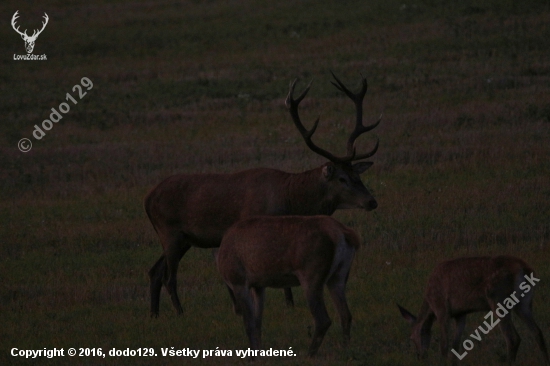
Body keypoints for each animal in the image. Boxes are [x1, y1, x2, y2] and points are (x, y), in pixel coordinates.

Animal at [144, 72, 382, 318]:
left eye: (357, 174)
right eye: (342, 178)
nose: (371, 201)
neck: (290, 198)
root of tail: (147, 198)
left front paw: (287, 304)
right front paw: (283, 305)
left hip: (183, 239)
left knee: (154, 271)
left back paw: (154, 314)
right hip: (170, 232)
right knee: (169, 277)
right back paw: (180, 313)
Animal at [216, 214, 362, 358]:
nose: (236, 309)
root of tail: (344, 233)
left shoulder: (238, 281)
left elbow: (249, 324)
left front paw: (252, 357)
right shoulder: (259, 286)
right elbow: (257, 323)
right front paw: (259, 353)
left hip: (312, 275)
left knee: (323, 319)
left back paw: (309, 354)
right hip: (338, 276)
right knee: (345, 314)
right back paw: (345, 349)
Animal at [398, 256, 548, 364]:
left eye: (412, 338)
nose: (420, 356)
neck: (430, 304)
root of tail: (524, 268)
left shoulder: (442, 310)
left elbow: (444, 345)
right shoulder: (460, 314)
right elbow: (455, 345)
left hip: (498, 299)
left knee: (513, 338)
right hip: (524, 304)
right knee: (537, 332)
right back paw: (545, 360)